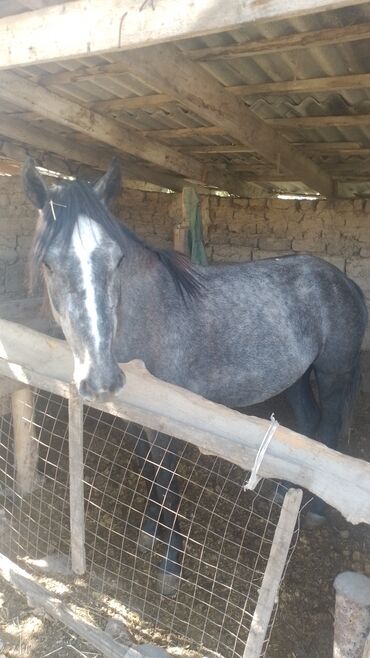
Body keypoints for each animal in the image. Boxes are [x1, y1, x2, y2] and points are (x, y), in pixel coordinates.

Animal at [23, 158, 368, 596]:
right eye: (48, 263)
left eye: (116, 259)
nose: (101, 380)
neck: (149, 315)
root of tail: (343, 281)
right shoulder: (136, 416)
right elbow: (149, 471)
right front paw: (149, 531)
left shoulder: (170, 423)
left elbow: (167, 480)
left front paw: (171, 565)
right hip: (296, 378)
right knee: (308, 427)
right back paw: (284, 491)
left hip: (332, 374)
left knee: (328, 434)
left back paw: (318, 510)